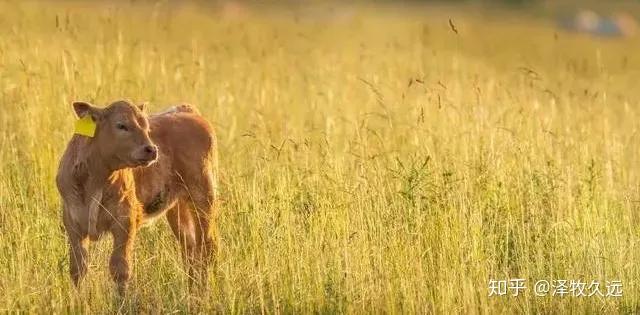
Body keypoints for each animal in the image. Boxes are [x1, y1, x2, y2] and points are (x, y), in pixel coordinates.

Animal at [55, 100, 220, 296]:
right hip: (178, 207)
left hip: (203, 197)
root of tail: (187, 111)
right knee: (190, 246)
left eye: (146, 127)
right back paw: (192, 291)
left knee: (207, 246)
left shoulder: (125, 221)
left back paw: (204, 293)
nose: (152, 149)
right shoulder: (72, 224)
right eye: (121, 125)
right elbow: (78, 269)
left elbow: (120, 268)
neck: (95, 179)